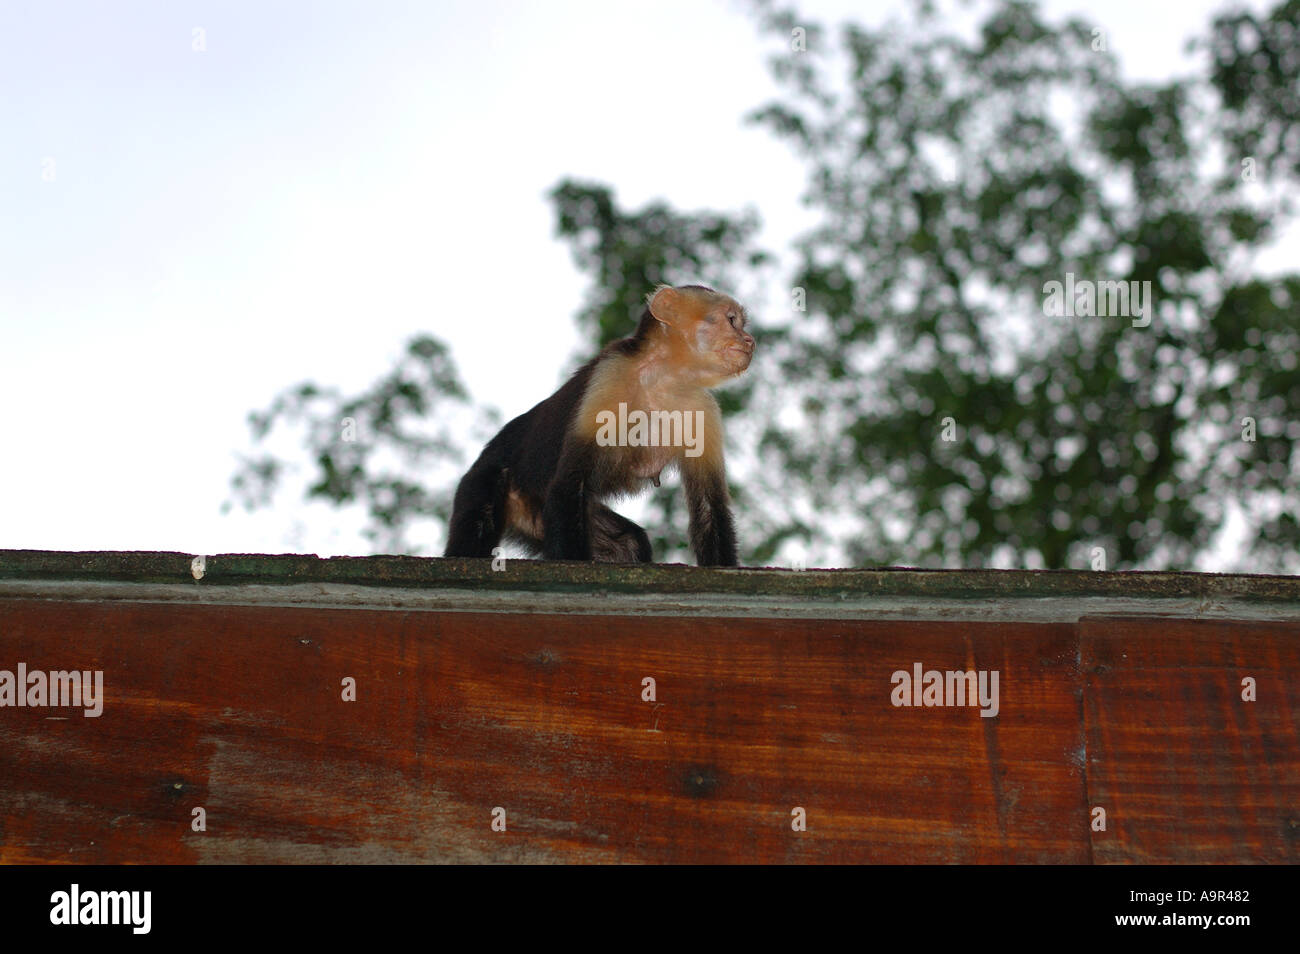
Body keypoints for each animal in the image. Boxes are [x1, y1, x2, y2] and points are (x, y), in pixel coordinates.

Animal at [444, 284, 755, 566]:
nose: (749, 340)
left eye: (740, 324)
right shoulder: (611, 374)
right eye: (731, 320)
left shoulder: (702, 406)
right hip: (482, 482)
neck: (663, 378)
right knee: (482, 512)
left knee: (627, 543)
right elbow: (570, 483)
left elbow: (709, 506)